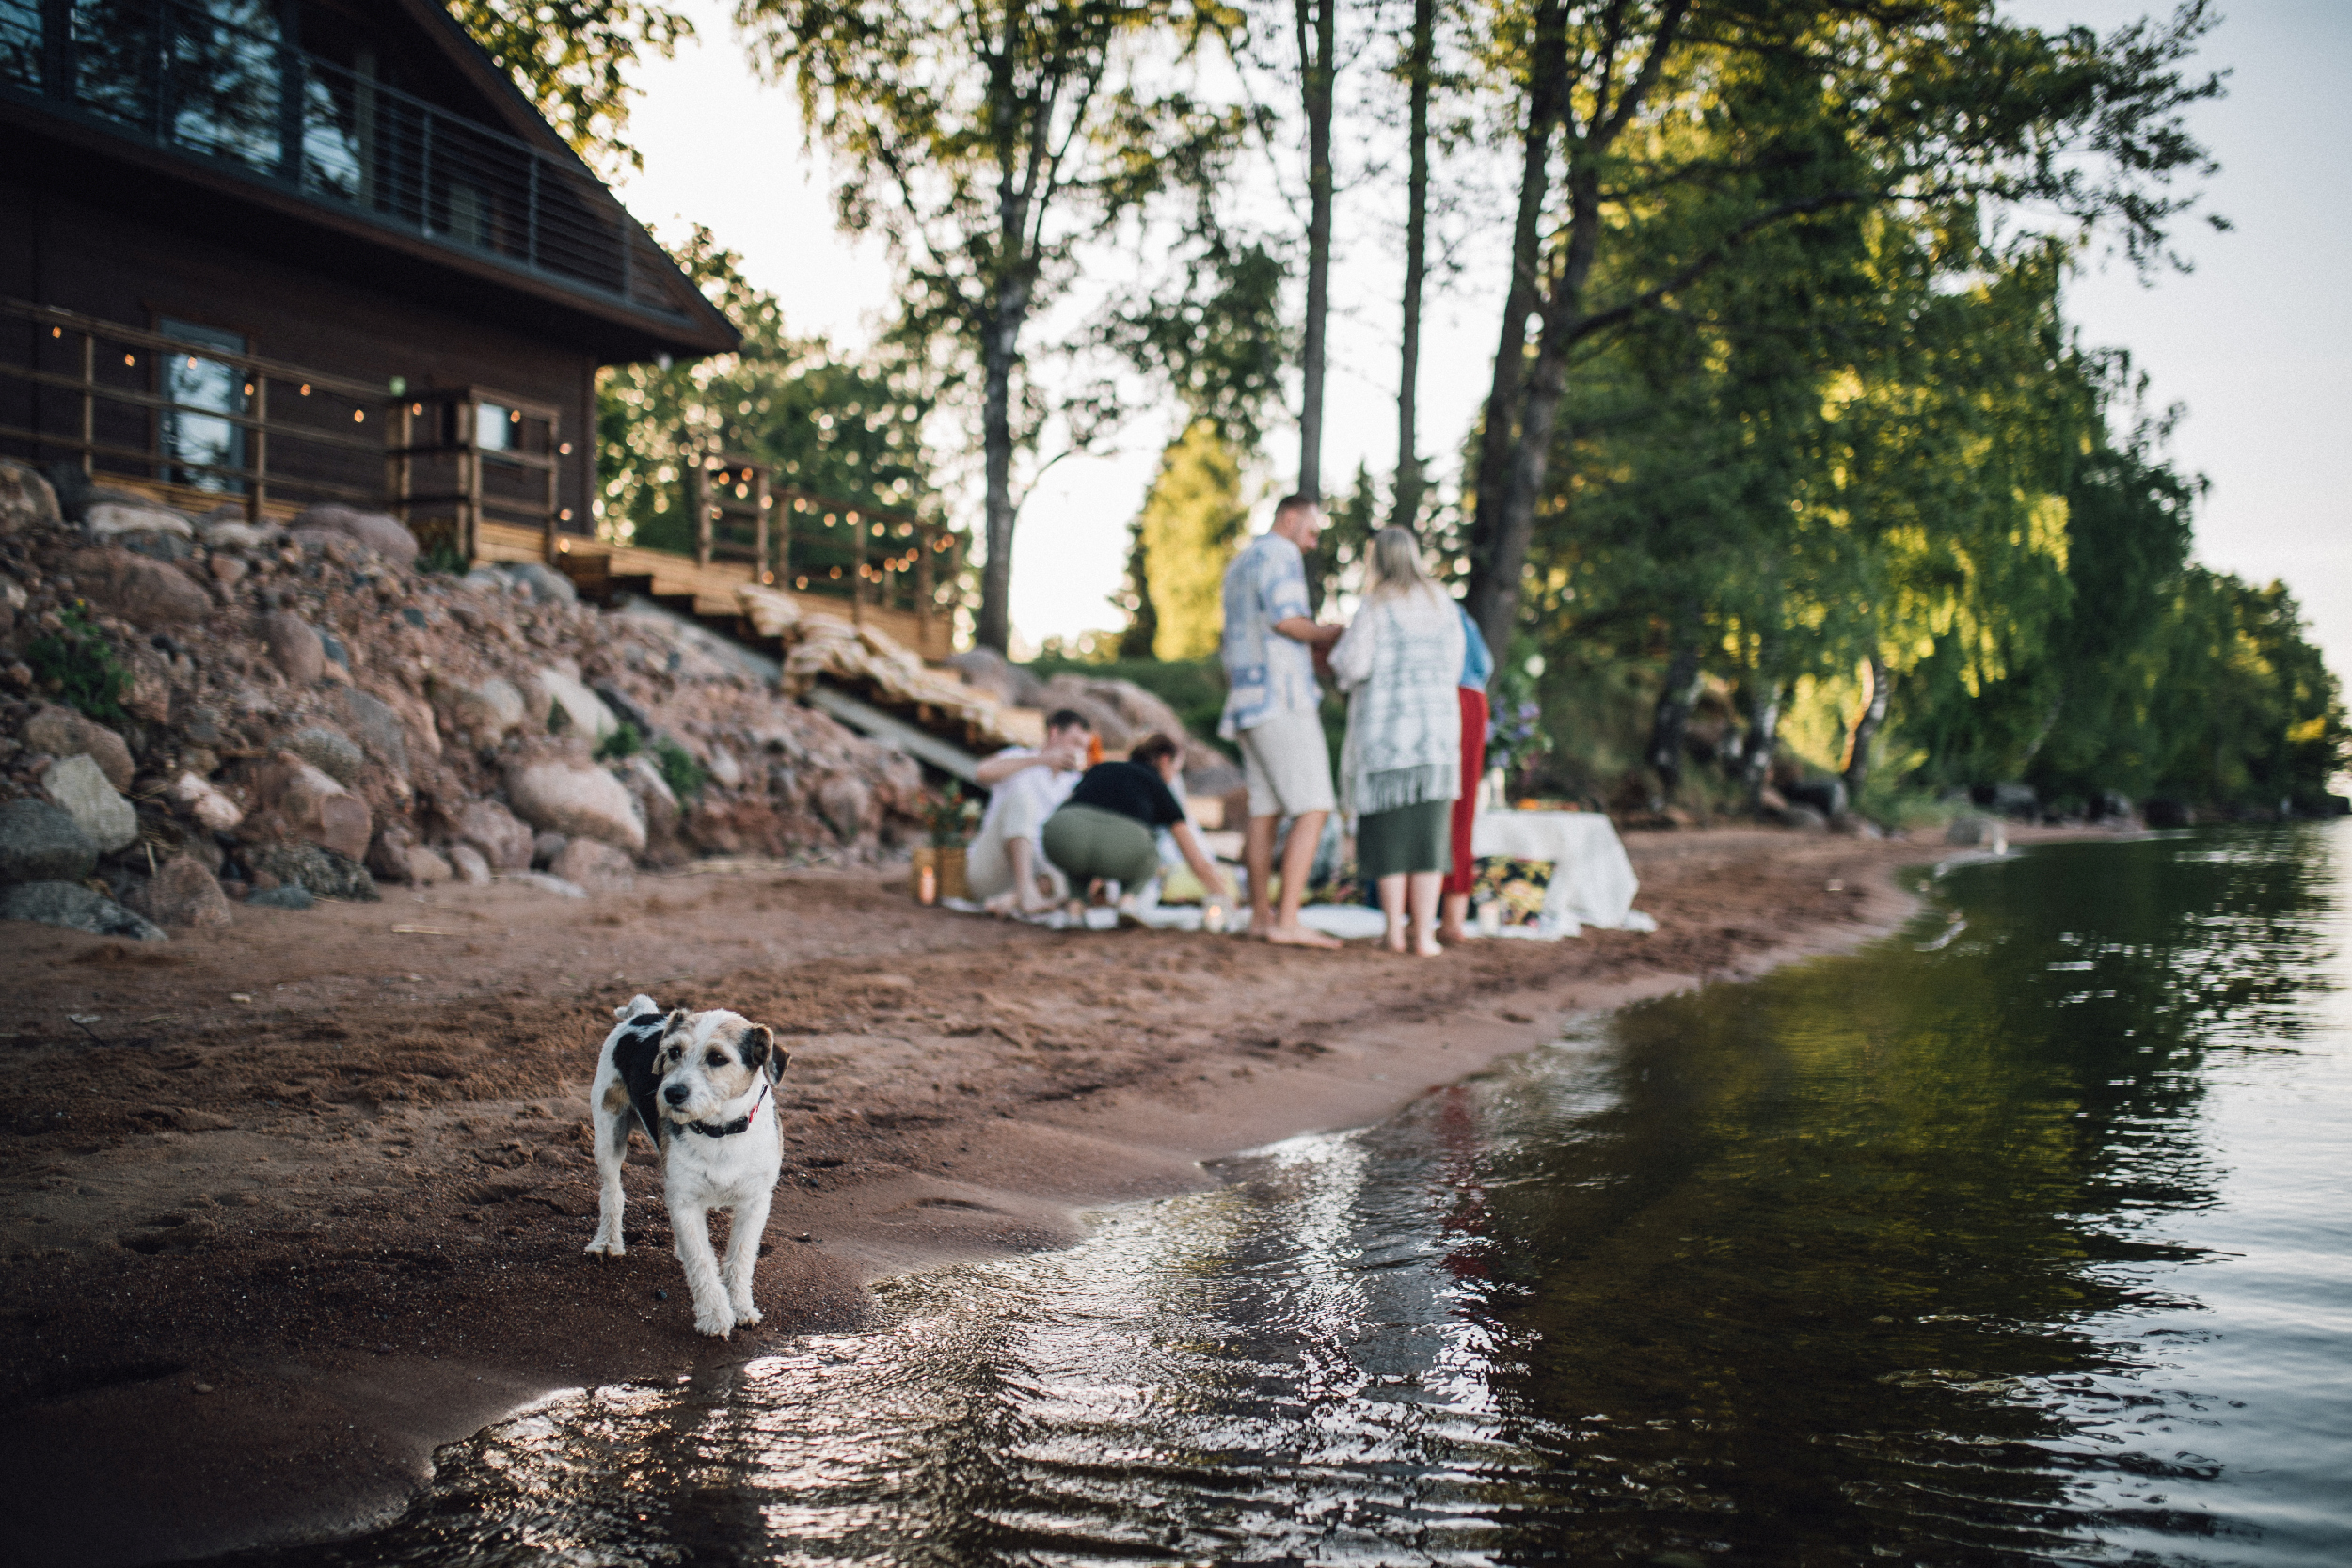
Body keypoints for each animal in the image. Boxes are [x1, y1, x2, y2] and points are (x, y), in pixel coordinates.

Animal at [585, 1001, 790, 1344]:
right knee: (612, 1190)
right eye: (673, 1051)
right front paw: (715, 1316)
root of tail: (643, 1013)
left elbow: (741, 1257)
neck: (720, 1131)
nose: (672, 1093)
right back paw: (607, 1242)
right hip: (608, 1133)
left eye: (718, 1058)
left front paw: (741, 1308)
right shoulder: (684, 1200)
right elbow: (701, 1260)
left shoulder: (755, 1202)